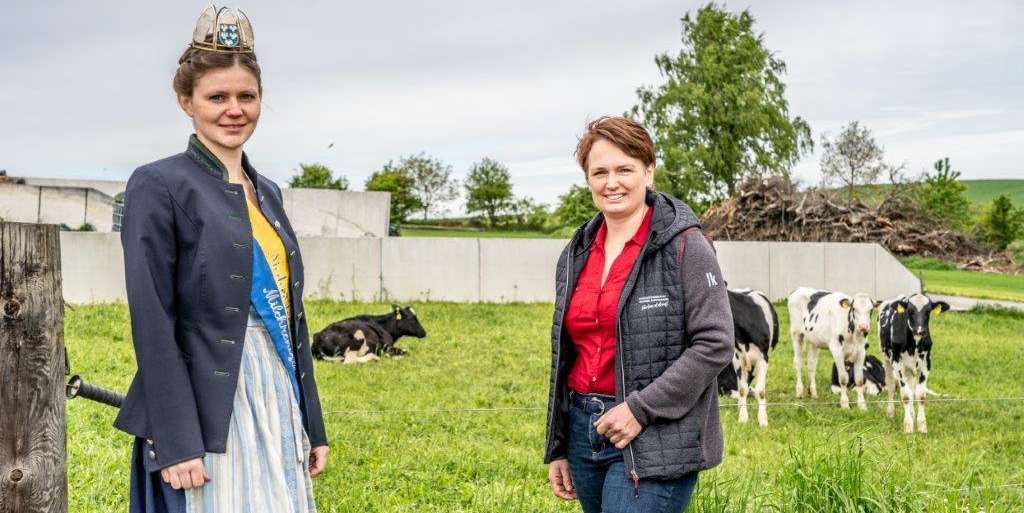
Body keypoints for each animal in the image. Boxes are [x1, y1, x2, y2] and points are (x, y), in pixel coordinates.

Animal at [720, 288, 782, 423]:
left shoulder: (763, 358)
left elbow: (760, 390)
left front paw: (763, 419)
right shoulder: (738, 359)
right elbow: (742, 389)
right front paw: (743, 417)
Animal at [876, 294, 946, 434]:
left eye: (928, 311)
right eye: (909, 311)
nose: (920, 331)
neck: (914, 344)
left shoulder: (926, 364)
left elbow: (920, 395)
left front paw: (922, 426)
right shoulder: (898, 364)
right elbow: (906, 395)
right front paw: (908, 426)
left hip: (912, 368)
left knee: (912, 388)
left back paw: (912, 413)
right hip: (886, 359)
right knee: (891, 385)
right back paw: (890, 412)